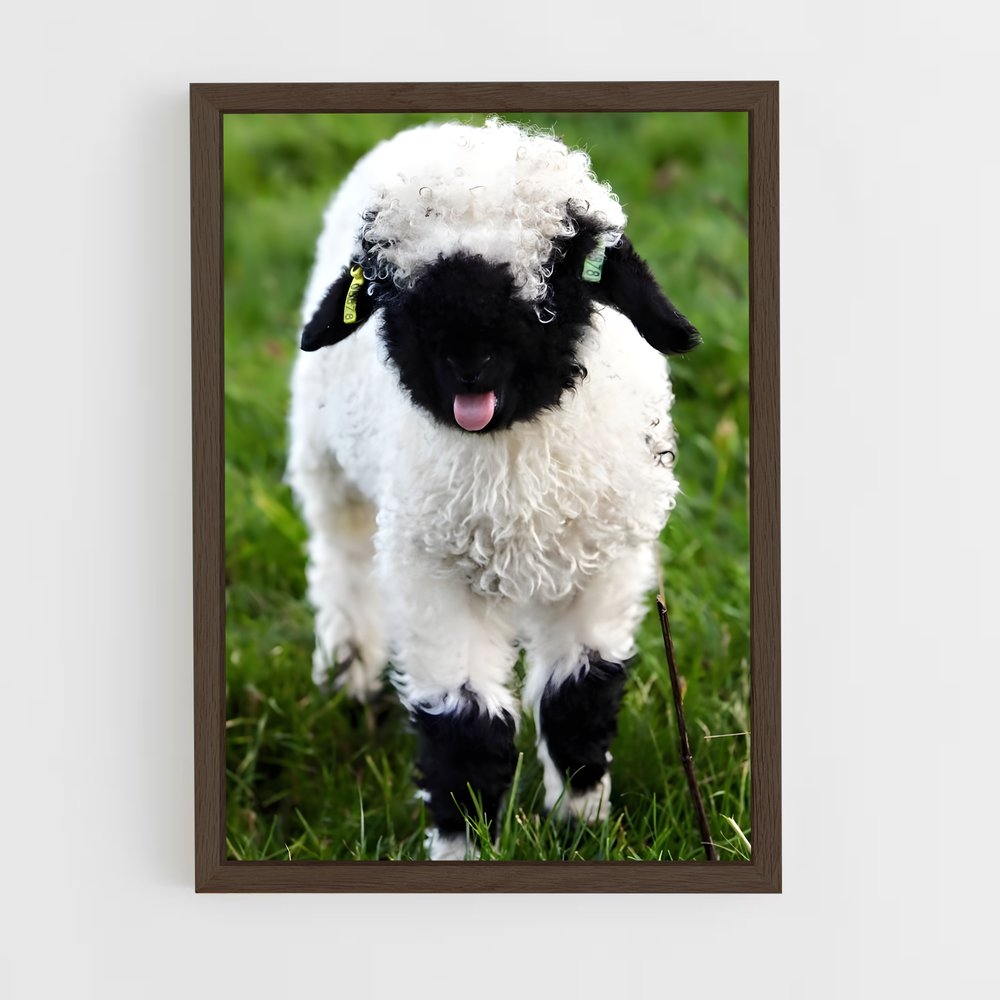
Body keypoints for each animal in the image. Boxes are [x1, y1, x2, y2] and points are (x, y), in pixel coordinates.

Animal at [287, 118, 701, 860]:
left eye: (554, 276)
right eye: (393, 289)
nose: (465, 358)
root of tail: (446, 126)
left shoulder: (603, 564)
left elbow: (579, 696)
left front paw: (581, 825)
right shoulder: (435, 573)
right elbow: (464, 727)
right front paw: (463, 844)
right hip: (326, 462)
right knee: (343, 559)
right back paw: (347, 671)